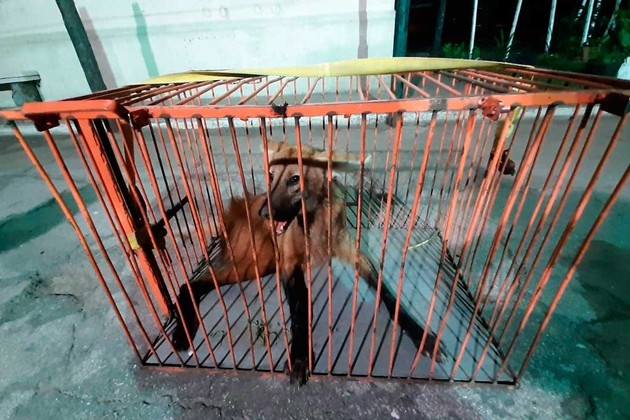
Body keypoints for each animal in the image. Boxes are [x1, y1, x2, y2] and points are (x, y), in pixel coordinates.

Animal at [171, 140, 443, 385]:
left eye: (294, 180)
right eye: (271, 176)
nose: (264, 214)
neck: (313, 223)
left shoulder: (354, 254)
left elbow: (387, 295)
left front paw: (423, 338)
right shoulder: (288, 265)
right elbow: (300, 312)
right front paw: (300, 358)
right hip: (259, 261)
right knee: (192, 283)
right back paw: (181, 333)